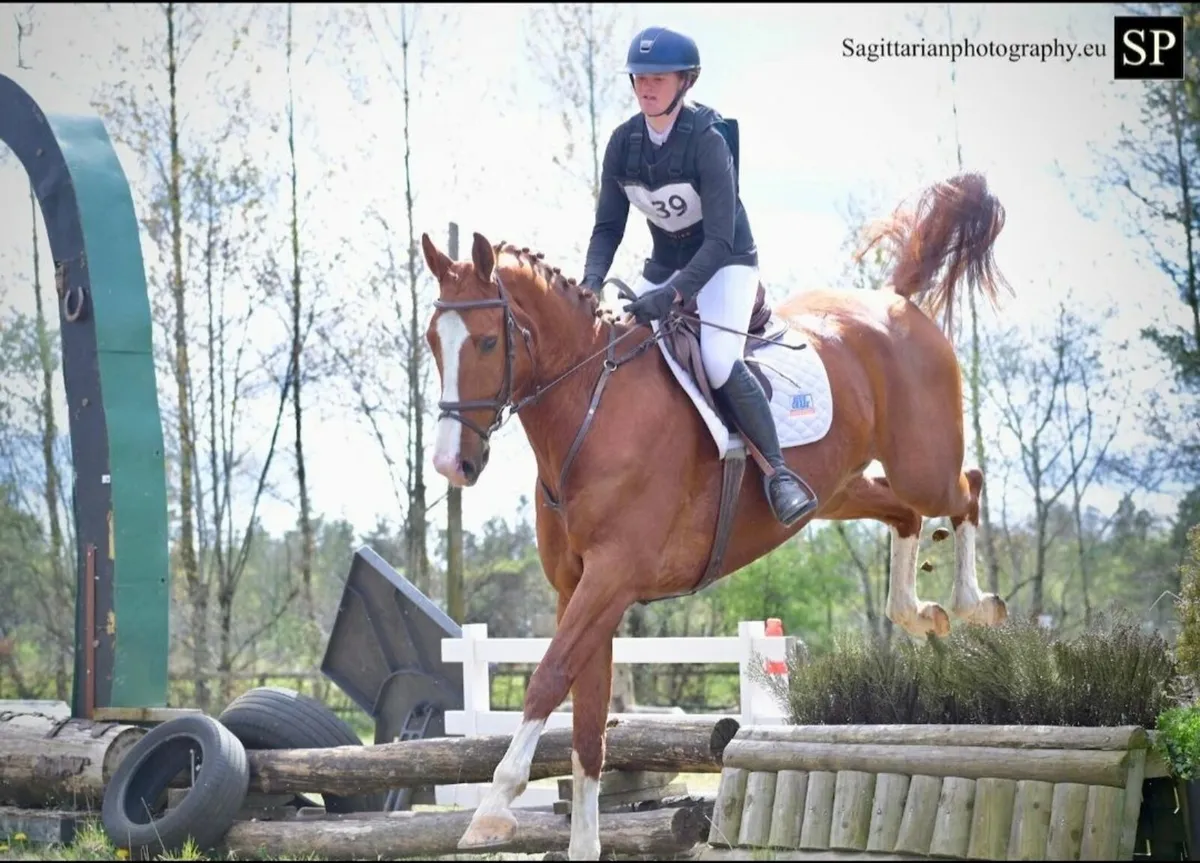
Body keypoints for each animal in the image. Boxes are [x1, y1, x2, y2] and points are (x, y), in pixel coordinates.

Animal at [420, 171, 1012, 860]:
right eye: (434, 343)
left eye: (489, 342)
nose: (451, 464)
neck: (591, 407)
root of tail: (896, 304)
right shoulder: (580, 590)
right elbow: (588, 728)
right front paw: (580, 842)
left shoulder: (611, 580)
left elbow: (547, 680)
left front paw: (492, 809)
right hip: (837, 491)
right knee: (903, 515)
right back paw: (916, 612)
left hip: (923, 464)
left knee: (965, 490)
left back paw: (972, 602)